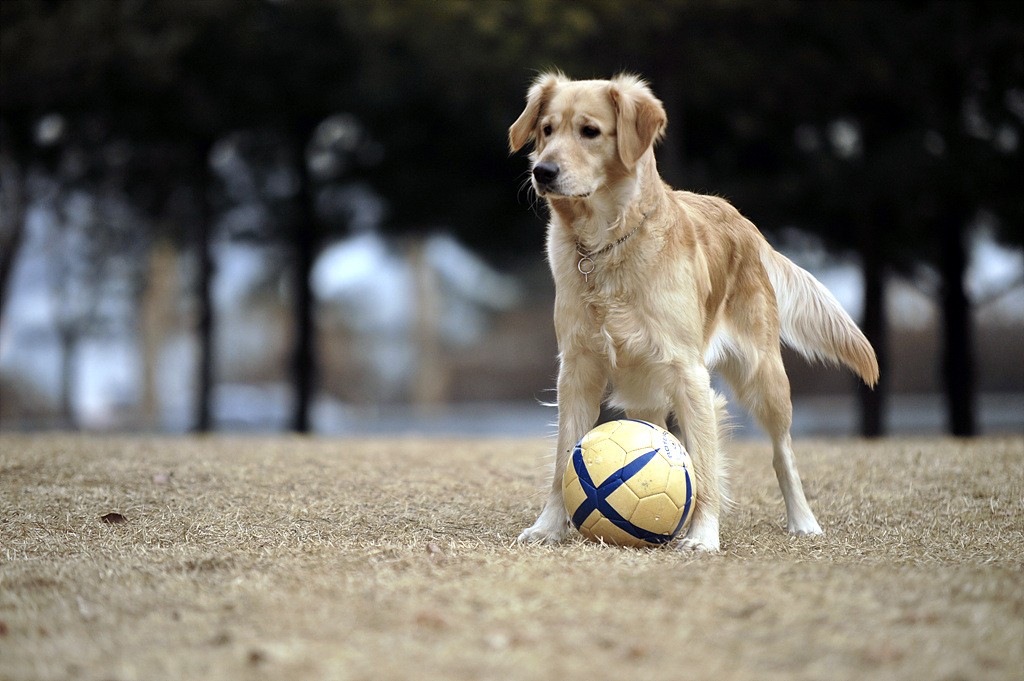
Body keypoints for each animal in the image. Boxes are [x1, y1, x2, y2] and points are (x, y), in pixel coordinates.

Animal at [507, 73, 876, 552]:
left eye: (589, 131)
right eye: (547, 130)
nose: (542, 171)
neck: (608, 244)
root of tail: (745, 222)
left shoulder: (688, 372)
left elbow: (702, 463)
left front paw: (703, 535)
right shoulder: (577, 369)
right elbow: (562, 458)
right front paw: (549, 526)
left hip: (765, 377)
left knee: (783, 453)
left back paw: (803, 520)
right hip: (645, 391)